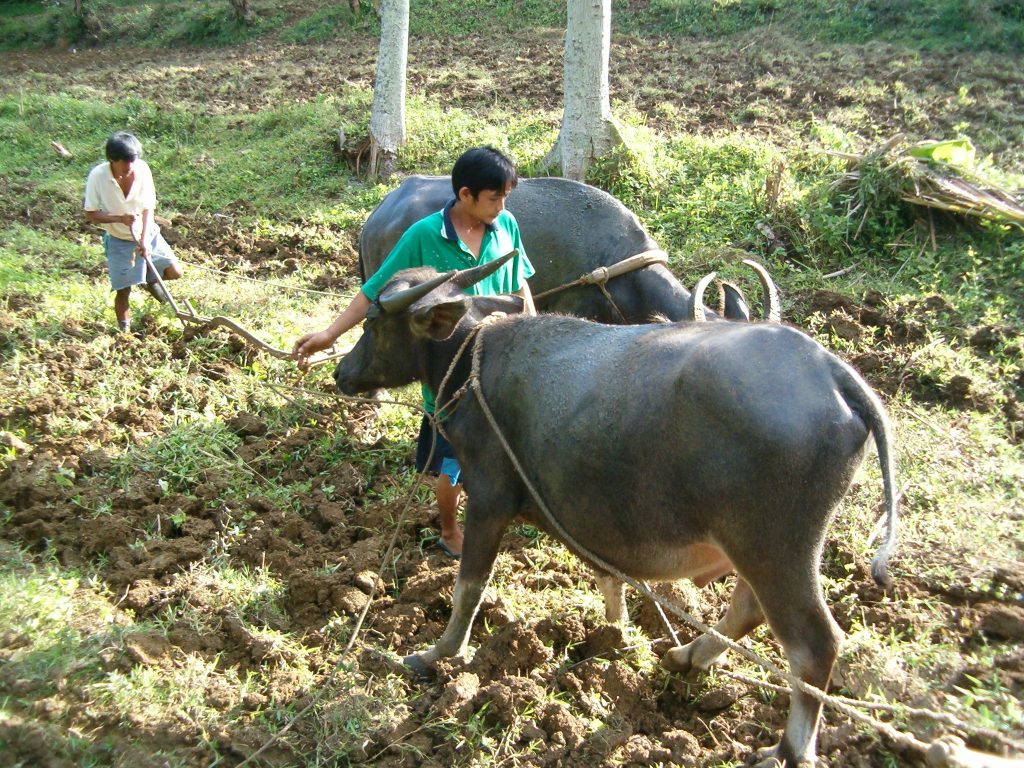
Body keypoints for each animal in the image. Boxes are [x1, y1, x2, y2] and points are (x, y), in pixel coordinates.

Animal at [333, 256, 897, 765]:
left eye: (373, 322)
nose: (341, 372)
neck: (474, 360)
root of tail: (833, 373)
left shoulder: (489, 498)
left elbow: (467, 589)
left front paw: (432, 655)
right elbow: (608, 576)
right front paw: (616, 635)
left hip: (774, 547)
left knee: (812, 645)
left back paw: (788, 749)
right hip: (764, 549)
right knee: (750, 607)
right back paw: (685, 656)